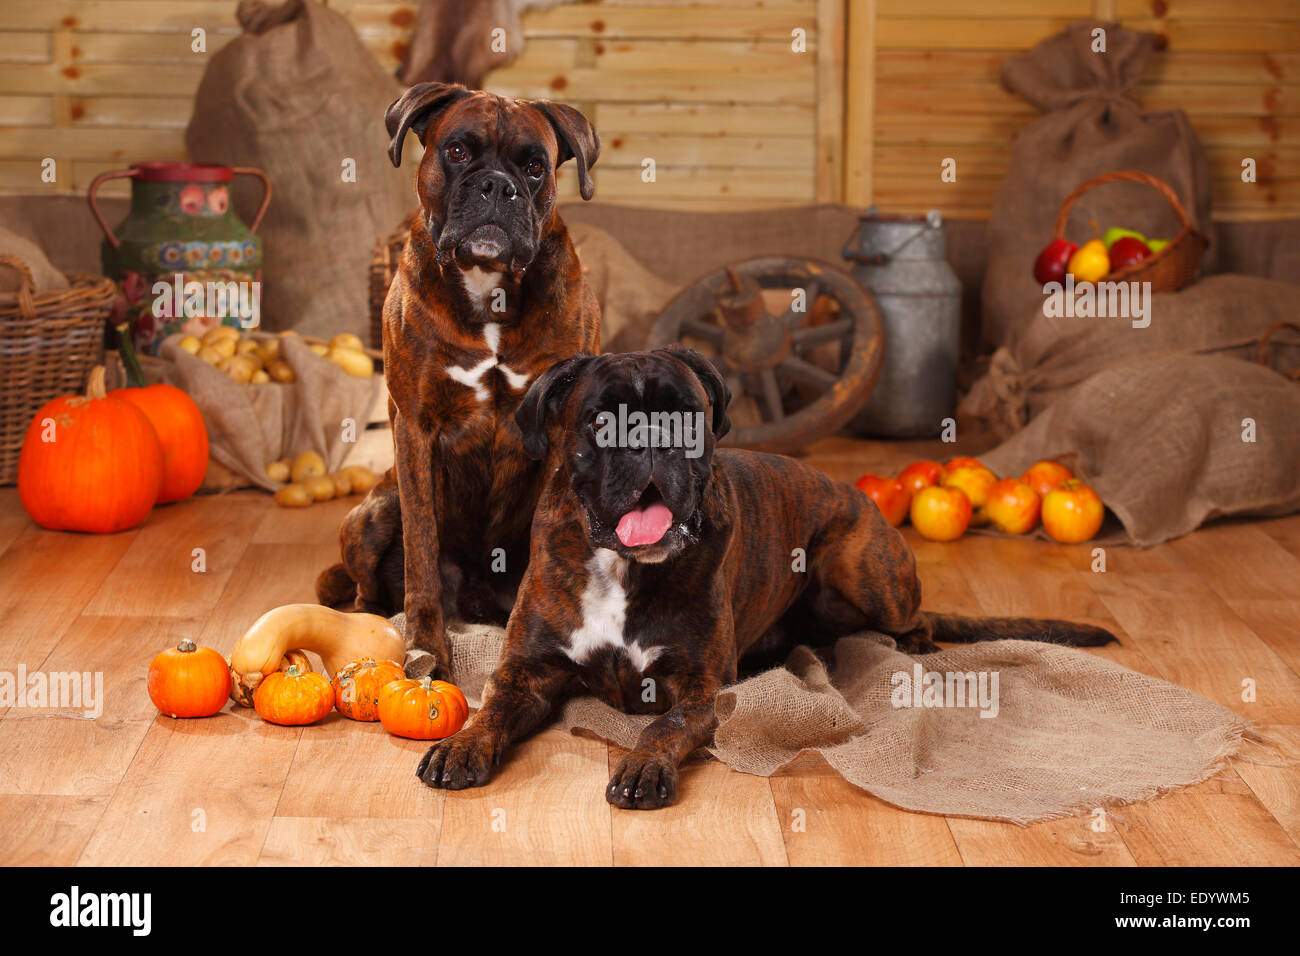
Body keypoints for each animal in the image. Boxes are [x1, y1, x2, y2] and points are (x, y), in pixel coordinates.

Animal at [317, 82, 600, 681]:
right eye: (457, 151)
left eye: (535, 167)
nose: (496, 186)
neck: (488, 286)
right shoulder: (415, 428)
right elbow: (422, 554)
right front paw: (427, 645)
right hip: (374, 513)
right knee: (364, 591)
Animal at [418, 348, 1118, 811]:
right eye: (600, 420)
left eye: (686, 416)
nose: (651, 440)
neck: (620, 566)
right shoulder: (528, 670)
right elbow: (492, 707)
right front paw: (463, 744)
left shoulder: (701, 689)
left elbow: (662, 727)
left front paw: (643, 767)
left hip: (859, 566)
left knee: (912, 620)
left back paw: (907, 645)